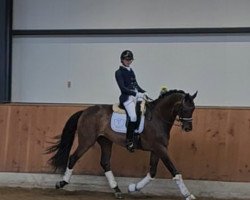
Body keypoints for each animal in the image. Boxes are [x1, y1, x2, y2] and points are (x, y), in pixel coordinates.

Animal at [45, 89, 197, 200]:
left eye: (193, 109)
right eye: (184, 108)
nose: (188, 128)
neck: (158, 117)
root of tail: (85, 111)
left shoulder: (157, 149)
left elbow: (152, 173)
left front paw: (133, 188)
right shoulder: (160, 148)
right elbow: (175, 172)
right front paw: (188, 195)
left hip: (105, 141)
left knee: (105, 163)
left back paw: (117, 190)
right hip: (87, 140)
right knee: (73, 158)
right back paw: (62, 183)